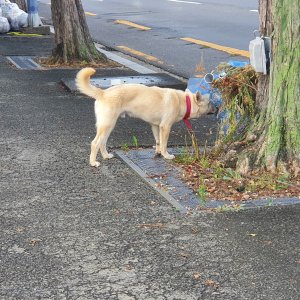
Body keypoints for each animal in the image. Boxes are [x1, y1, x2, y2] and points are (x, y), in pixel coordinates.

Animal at [75, 67, 216, 168]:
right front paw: (166, 155)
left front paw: (158, 153)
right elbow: (164, 143)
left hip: (109, 126)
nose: (217, 108)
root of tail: (102, 92)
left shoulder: (155, 126)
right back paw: (93, 162)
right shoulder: (165, 127)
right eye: (210, 103)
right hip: (107, 124)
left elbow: (158, 141)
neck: (185, 101)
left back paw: (105, 156)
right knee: (95, 143)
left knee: (102, 142)